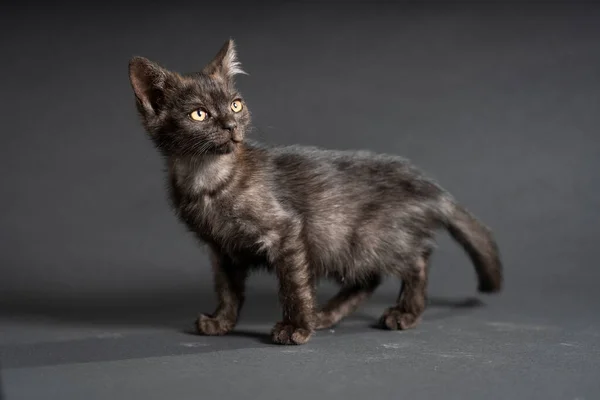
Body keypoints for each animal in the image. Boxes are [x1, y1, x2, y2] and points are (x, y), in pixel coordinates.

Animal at [129, 40, 504, 346]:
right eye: (199, 114)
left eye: (235, 105)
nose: (231, 126)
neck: (207, 179)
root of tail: (428, 184)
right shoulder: (222, 249)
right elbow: (227, 289)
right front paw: (221, 322)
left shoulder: (287, 231)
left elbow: (294, 284)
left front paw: (296, 328)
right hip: (346, 244)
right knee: (368, 279)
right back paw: (326, 314)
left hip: (367, 238)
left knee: (417, 261)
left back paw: (405, 313)